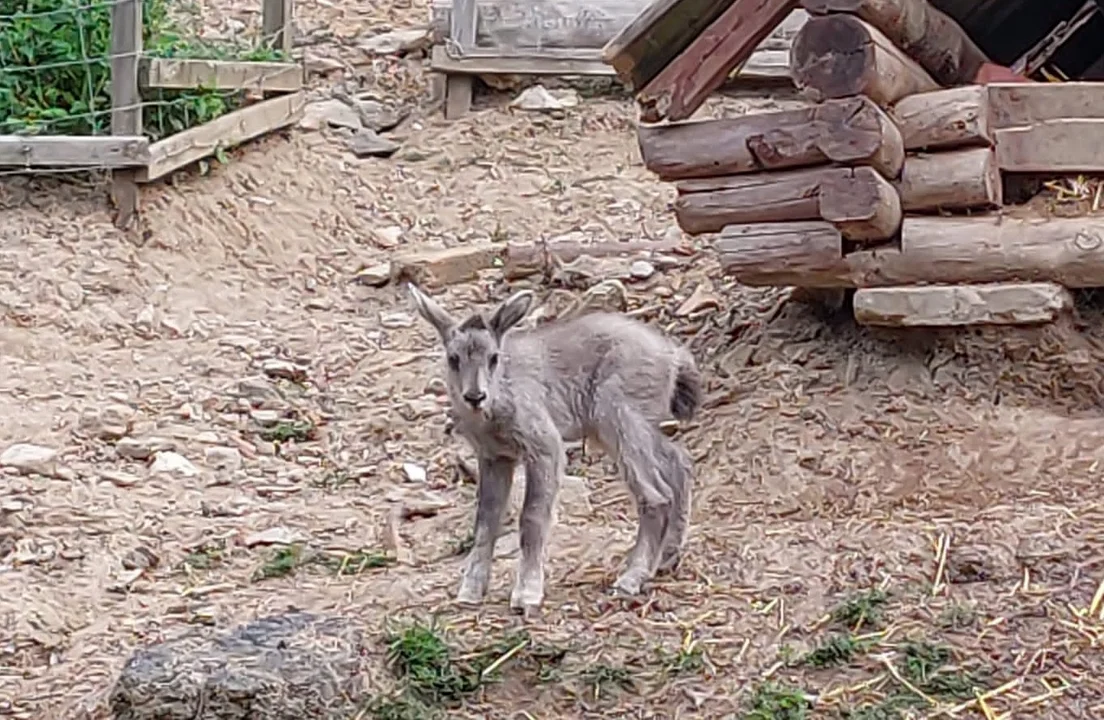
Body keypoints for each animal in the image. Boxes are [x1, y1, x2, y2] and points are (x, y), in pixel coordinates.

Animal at [410, 281, 702, 613]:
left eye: (494, 357)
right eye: (453, 358)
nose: (475, 396)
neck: (499, 403)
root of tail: (674, 356)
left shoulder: (544, 447)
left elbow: (532, 516)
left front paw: (527, 593)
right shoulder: (495, 457)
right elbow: (486, 520)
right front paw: (470, 590)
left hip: (618, 416)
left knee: (656, 495)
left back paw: (632, 578)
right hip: (631, 425)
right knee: (680, 461)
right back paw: (667, 557)